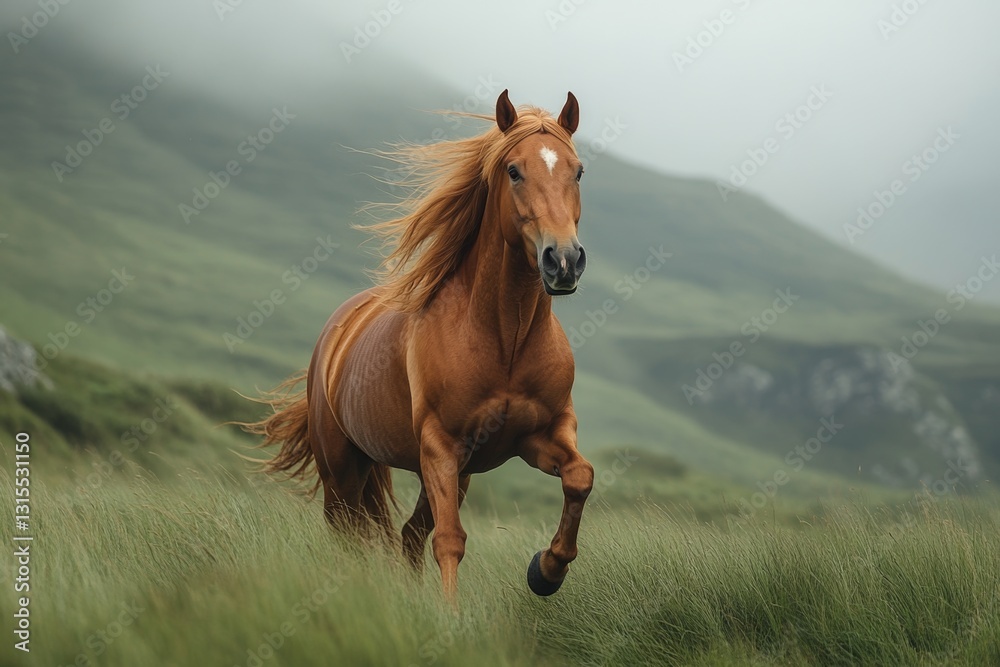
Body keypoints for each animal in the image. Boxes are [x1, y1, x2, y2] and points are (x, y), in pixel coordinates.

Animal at [247, 89, 593, 600]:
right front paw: (451, 617)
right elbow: (450, 540)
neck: (504, 342)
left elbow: (580, 478)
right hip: (344, 468)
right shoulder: (440, 446)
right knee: (350, 533)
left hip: (450, 472)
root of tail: (338, 329)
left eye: (578, 170)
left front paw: (546, 571)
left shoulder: (541, 435)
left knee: (405, 535)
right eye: (514, 171)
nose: (564, 261)